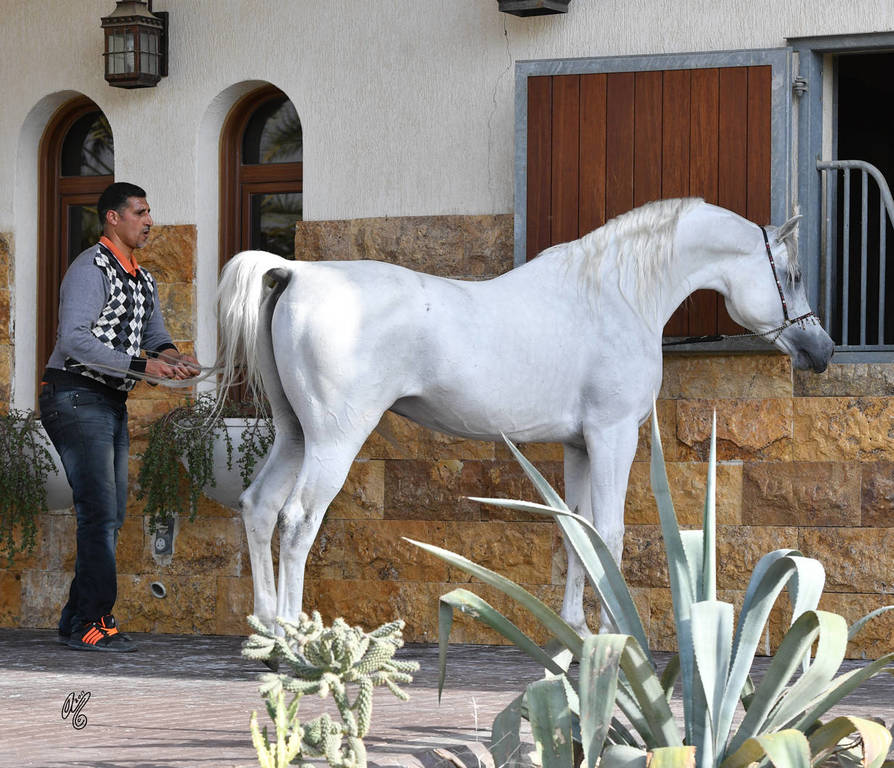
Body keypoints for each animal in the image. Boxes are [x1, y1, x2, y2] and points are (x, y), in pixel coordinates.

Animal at [216, 198, 835, 634]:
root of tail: (295, 273)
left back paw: (269, 633)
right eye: (793, 275)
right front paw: (617, 633)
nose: (822, 350)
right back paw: (296, 639)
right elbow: (610, 530)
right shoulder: (612, 436)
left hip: (295, 435)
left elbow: (577, 529)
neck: (614, 297)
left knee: (260, 506)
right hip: (333, 440)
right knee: (297, 520)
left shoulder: (579, 444)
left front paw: (578, 629)